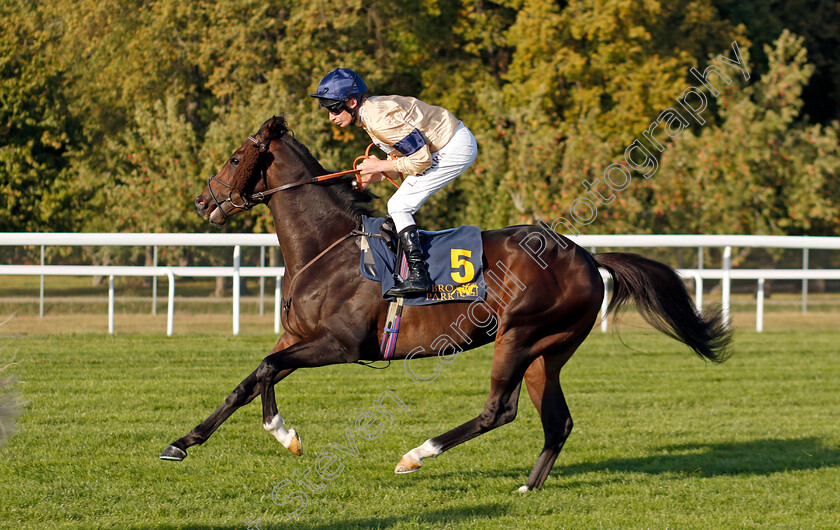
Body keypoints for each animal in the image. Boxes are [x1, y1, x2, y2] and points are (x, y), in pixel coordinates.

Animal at [162, 115, 728, 490]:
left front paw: (273, 435)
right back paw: (528, 485)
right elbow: (253, 379)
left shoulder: (341, 345)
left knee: (499, 410)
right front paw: (200, 441)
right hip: (549, 350)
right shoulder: (298, 335)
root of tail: (586, 256)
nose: (203, 201)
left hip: (518, 336)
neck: (329, 246)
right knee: (557, 420)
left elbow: (264, 368)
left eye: (236, 159)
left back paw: (416, 455)